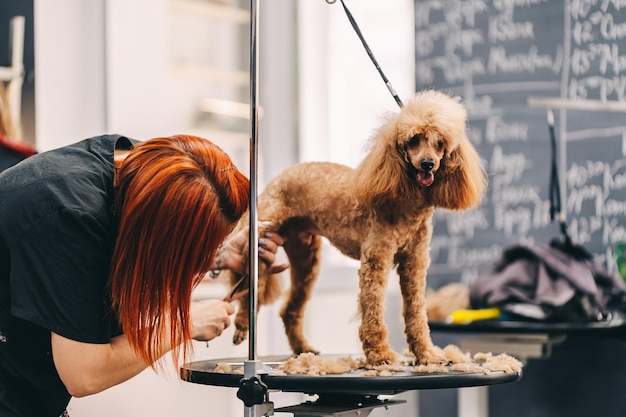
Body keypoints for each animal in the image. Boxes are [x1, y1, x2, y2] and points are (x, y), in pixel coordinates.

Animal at [227, 88, 486, 364]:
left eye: (440, 143)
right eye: (414, 139)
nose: (428, 164)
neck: (408, 200)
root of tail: (277, 180)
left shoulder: (414, 263)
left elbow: (416, 312)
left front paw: (426, 354)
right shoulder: (376, 259)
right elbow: (373, 309)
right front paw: (380, 354)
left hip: (306, 260)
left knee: (290, 310)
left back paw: (303, 349)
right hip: (260, 241)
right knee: (250, 289)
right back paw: (243, 326)